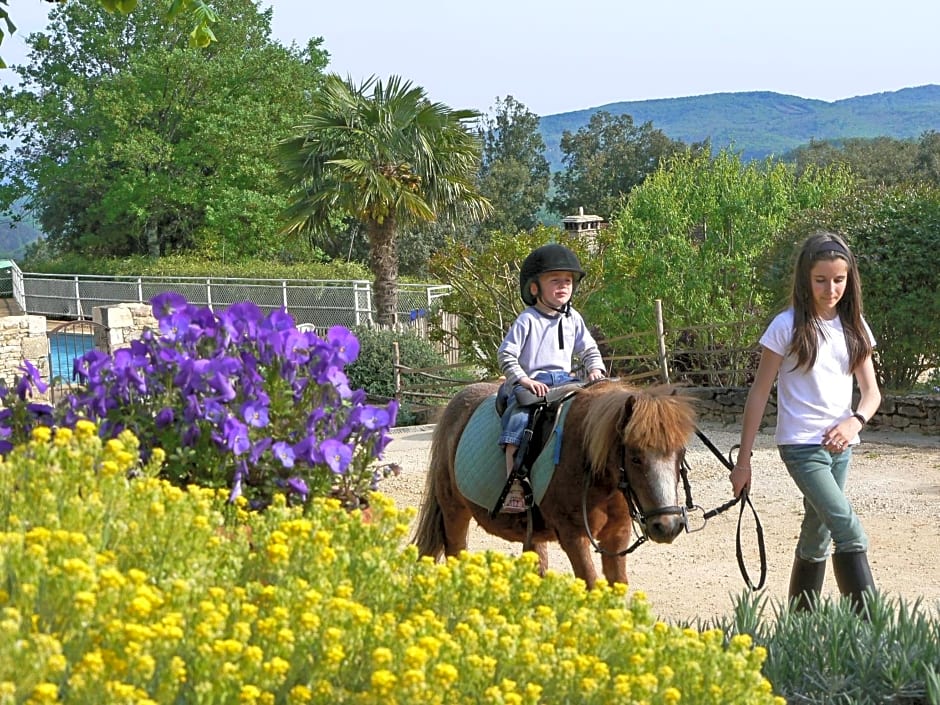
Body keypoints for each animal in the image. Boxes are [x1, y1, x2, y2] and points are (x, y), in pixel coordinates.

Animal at [414, 380, 696, 588]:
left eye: (680, 454)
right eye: (635, 457)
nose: (667, 526)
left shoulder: (617, 536)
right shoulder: (574, 537)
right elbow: (590, 584)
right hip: (454, 511)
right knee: (455, 551)